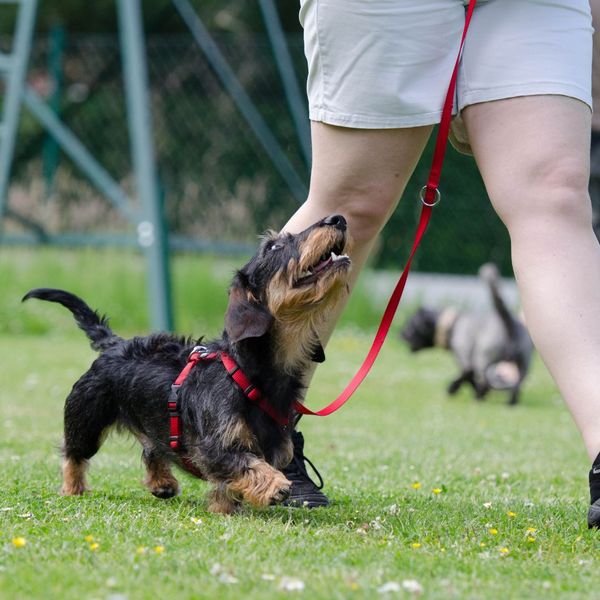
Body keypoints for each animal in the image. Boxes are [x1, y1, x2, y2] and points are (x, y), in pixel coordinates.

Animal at [22, 213, 352, 512]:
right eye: (273, 246)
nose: (337, 219)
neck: (248, 372)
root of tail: (115, 344)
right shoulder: (213, 447)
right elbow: (245, 464)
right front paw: (274, 485)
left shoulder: (275, 447)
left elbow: (230, 483)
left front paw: (224, 507)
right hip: (86, 419)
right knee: (73, 454)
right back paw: (72, 488)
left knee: (152, 449)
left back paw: (162, 482)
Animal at [400, 264, 532, 406]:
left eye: (410, 325)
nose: (400, 334)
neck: (452, 324)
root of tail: (508, 320)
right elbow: (469, 378)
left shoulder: (465, 359)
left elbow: (467, 377)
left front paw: (453, 389)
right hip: (523, 364)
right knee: (517, 385)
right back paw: (510, 403)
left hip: (484, 359)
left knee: (485, 380)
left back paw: (478, 397)